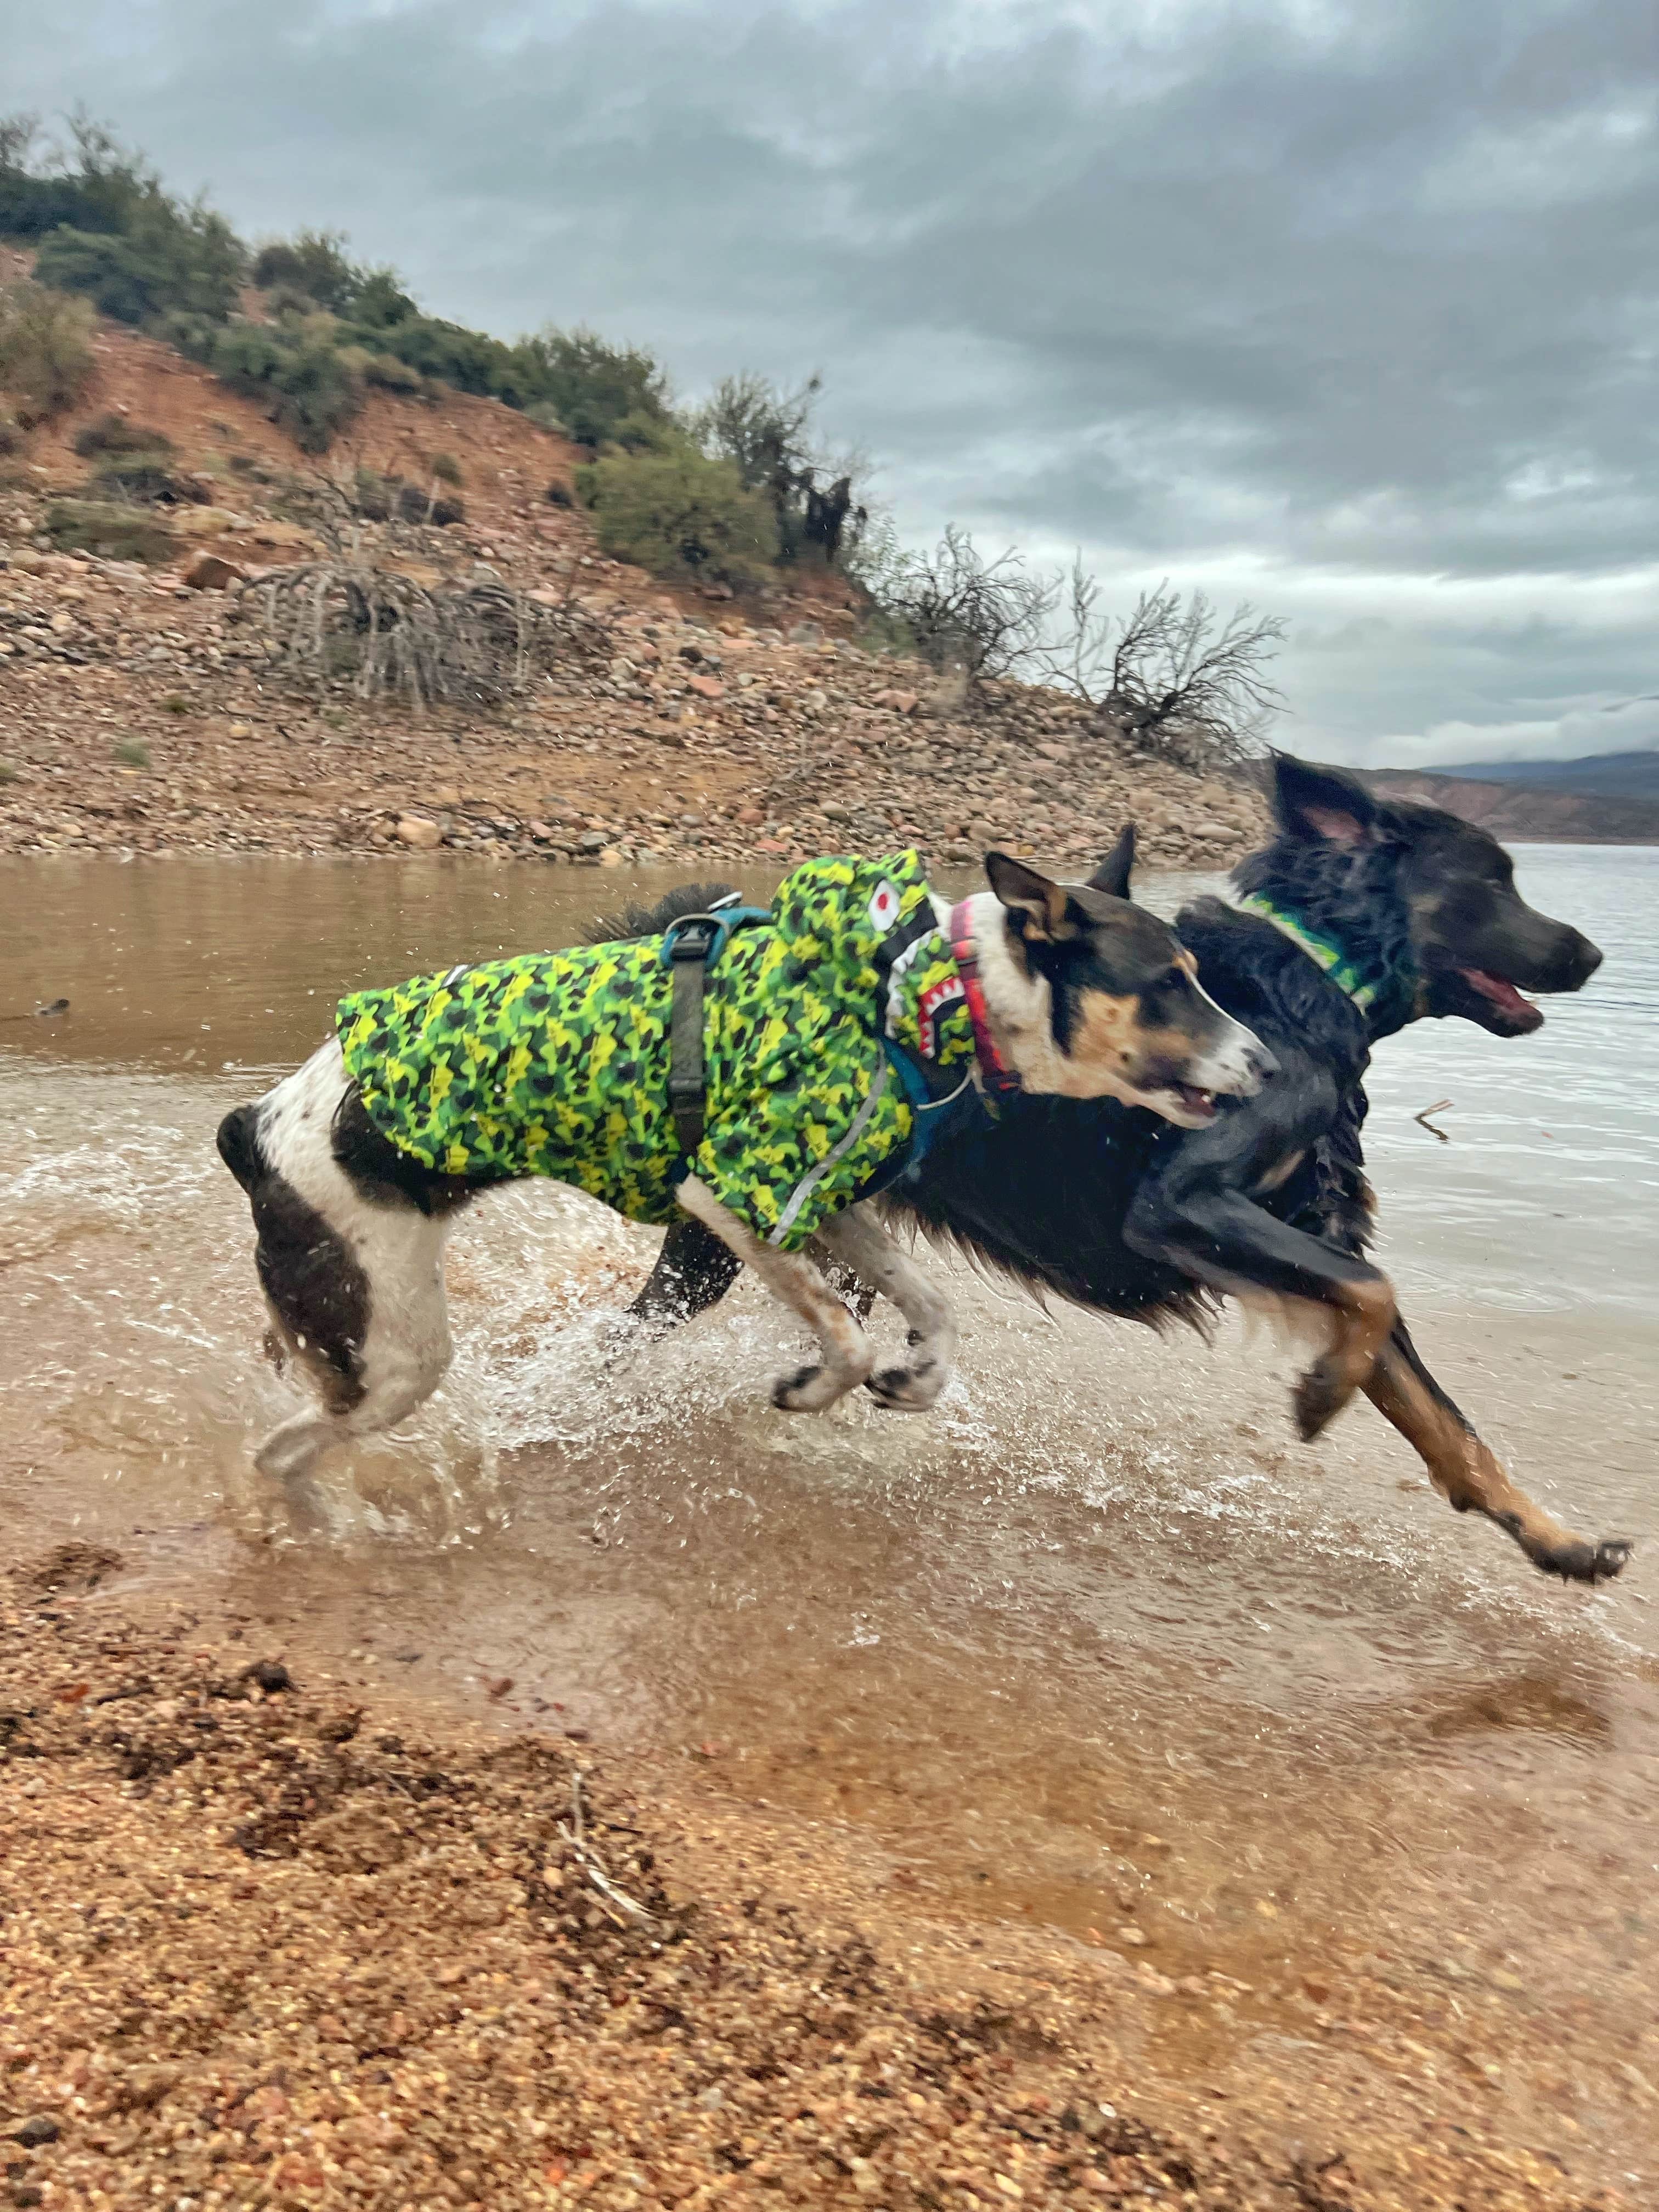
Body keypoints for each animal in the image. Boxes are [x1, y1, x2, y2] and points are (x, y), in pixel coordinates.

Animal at [215, 840, 1265, 1486]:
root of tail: (252, 1132)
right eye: (1169, 984)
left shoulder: (826, 1197)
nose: (1265, 1066)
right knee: (278, 1452)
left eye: (1199, 976)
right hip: (396, 1350)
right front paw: (813, 1387)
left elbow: (930, 1306)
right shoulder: (727, 1193)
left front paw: (918, 1380)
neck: (925, 991)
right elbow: (844, 1331)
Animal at [619, 761, 1628, 1593]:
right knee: (630, 1333)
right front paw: (1319, 1394)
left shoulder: (1311, 1226)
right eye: (1490, 880)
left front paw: (1558, 1542)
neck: (1312, 979)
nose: (1590, 952)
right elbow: (1373, 1295)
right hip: (720, 1242)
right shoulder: (1182, 1204)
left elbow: (1442, 1415)